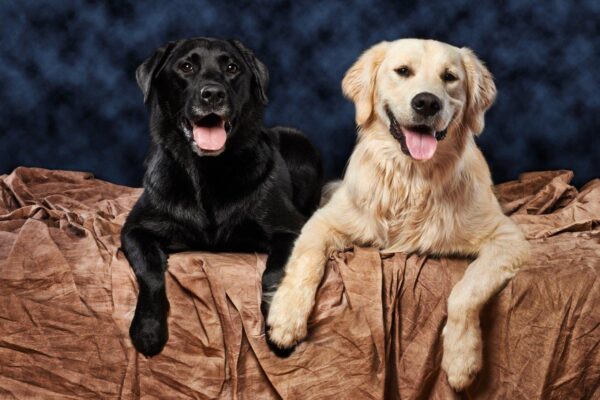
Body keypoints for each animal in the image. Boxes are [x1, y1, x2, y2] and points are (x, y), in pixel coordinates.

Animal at [121, 37, 324, 356]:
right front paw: (148, 329)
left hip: (298, 143)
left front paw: (278, 325)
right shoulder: (135, 229)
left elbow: (274, 272)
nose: (213, 94)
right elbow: (150, 271)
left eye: (232, 68)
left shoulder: (290, 229)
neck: (208, 172)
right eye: (186, 67)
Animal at [268, 39, 528, 390]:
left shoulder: (508, 238)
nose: (427, 102)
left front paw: (461, 359)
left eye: (449, 77)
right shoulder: (322, 221)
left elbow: (466, 290)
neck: (412, 178)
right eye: (403, 71)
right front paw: (285, 319)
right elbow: (305, 262)